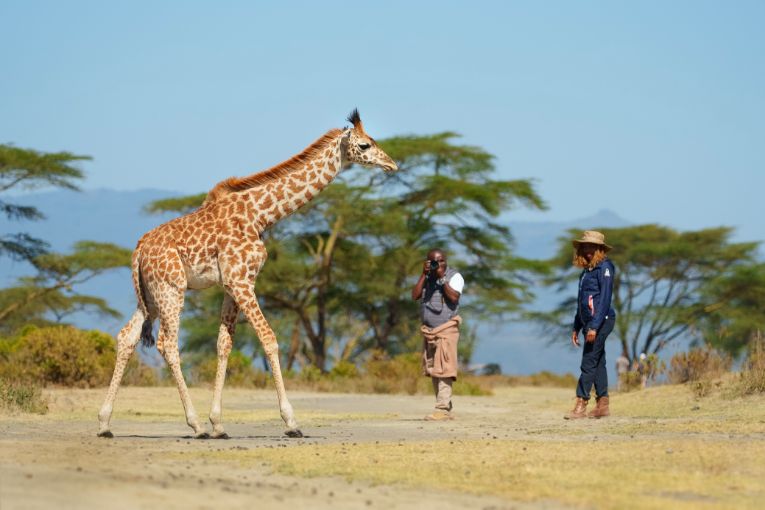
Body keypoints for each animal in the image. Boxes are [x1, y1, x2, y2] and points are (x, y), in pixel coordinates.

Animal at [97, 110, 397, 439]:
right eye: (365, 145)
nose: (392, 164)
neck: (261, 215)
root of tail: (138, 249)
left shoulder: (233, 284)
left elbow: (223, 344)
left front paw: (218, 423)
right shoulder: (241, 281)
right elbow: (268, 338)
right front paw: (291, 422)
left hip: (149, 295)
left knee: (127, 336)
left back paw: (105, 423)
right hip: (170, 289)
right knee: (167, 343)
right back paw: (195, 425)